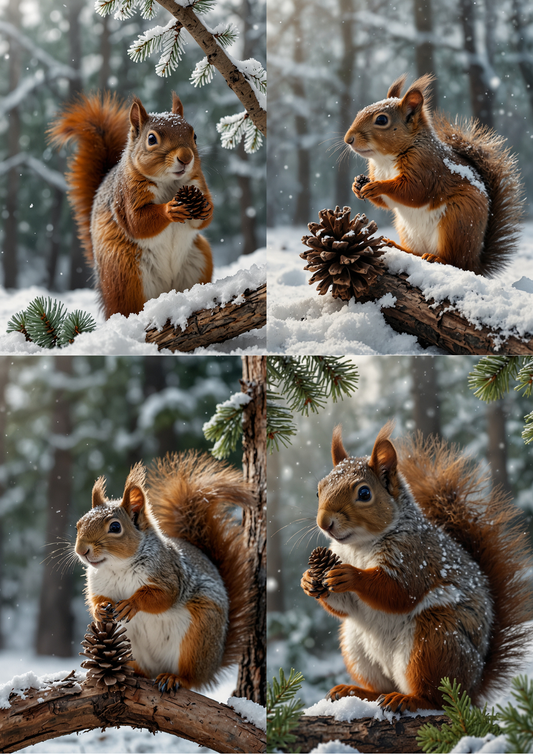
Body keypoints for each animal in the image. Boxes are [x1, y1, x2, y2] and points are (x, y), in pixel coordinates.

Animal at [49, 92, 214, 319]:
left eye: (194, 135)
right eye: (151, 139)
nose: (186, 158)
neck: (170, 183)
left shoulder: (197, 183)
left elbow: (202, 221)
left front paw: (207, 208)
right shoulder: (126, 197)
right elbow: (137, 222)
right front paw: (170, 209)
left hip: (199, 260)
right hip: (124, 275)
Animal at [75, 451, 254, 692]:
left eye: (115, 527)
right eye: (78, 524)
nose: (81, 550)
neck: (117, 567)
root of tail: (212, 667)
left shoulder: (168, 574)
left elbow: (163, 596)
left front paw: (132, 603)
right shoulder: (98, 584)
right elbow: (96, 600)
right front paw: (101, 609)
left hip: (198, 637)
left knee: (191, 677)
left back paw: (174, 678)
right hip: (132, 647)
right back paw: (134, 673)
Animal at [301, 422, 533, 713]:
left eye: (364, 493)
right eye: (318, 490)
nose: (324, 522)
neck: (359, 547)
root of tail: (472, 688)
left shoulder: (413, 558)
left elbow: (398, 591)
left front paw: (351, 576)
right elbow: (346, 606)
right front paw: (308, 579)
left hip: (434, 640)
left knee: (436, 697)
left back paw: (408, 699)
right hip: (356, 648)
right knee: (381, 687)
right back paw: (355, 691)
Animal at [344, 74, 524, 277]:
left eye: (381, 120)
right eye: (360, 111)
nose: (348, 139)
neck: (385, 159)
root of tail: (476, 263)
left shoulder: (426, 168)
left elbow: (414, 191)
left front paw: (378, 186)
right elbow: (387, 202)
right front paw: (357, 185)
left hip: (457, 222)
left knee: (455, 261)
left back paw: (437, 258)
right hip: (407, 229)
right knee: (416, 253)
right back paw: (397, 246)